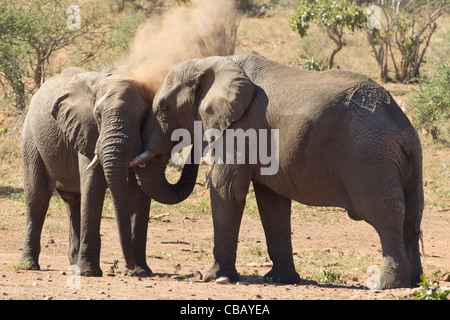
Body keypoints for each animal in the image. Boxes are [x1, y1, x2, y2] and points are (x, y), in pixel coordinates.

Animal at [18, 67, 199, 276]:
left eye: (143, 117)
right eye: (97, 116)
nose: (128, 265)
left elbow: (137, 193)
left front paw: (139, 272)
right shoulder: (88, 132)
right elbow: (93, 186)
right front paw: (89, 272)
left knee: (73, 202)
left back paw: (73, 266)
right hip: (31, 138)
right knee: (37, 199)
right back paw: (29, 266)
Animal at [131, 53, 426, 288]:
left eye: (164, 108)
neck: (211, 62)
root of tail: (404, 130)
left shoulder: (241, 128)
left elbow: (228, 190)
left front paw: (212, 277)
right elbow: (271, 202)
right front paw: (280, 279)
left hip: (370, 160)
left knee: (385, 218)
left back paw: (385, 285)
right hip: (407, 164)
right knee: (411, 219)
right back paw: (415, 282)